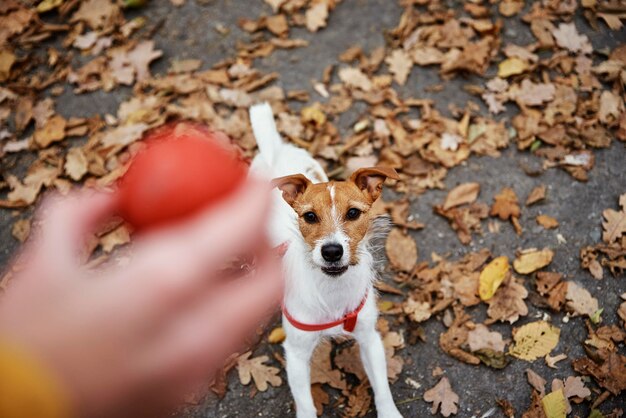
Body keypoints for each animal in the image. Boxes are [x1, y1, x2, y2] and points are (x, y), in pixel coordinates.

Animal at [247, 102, 400, 418]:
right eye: (309, 216)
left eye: (353, 213)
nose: (331, 251)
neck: (332, 290)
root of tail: (275, 150)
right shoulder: (295, 354)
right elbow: (305, 403)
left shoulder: (369, 339)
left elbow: (382, 389)